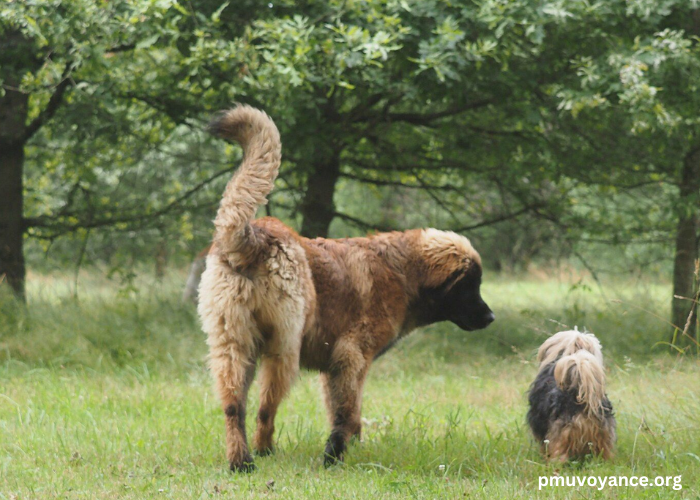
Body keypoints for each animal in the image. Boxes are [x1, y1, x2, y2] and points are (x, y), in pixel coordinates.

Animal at [194, 105, 494, 472]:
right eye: (470, 285)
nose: (491, 317)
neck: (403, 272)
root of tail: (254, 237)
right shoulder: (352, 356)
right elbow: (347, 413)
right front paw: (334, 454)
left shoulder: (335, 367)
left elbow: (348, 412)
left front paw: (352, 447)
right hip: (283, 349)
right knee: (266, 408)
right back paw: (264, 451)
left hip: (232, 345)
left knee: (234, 406)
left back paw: (242, 461)